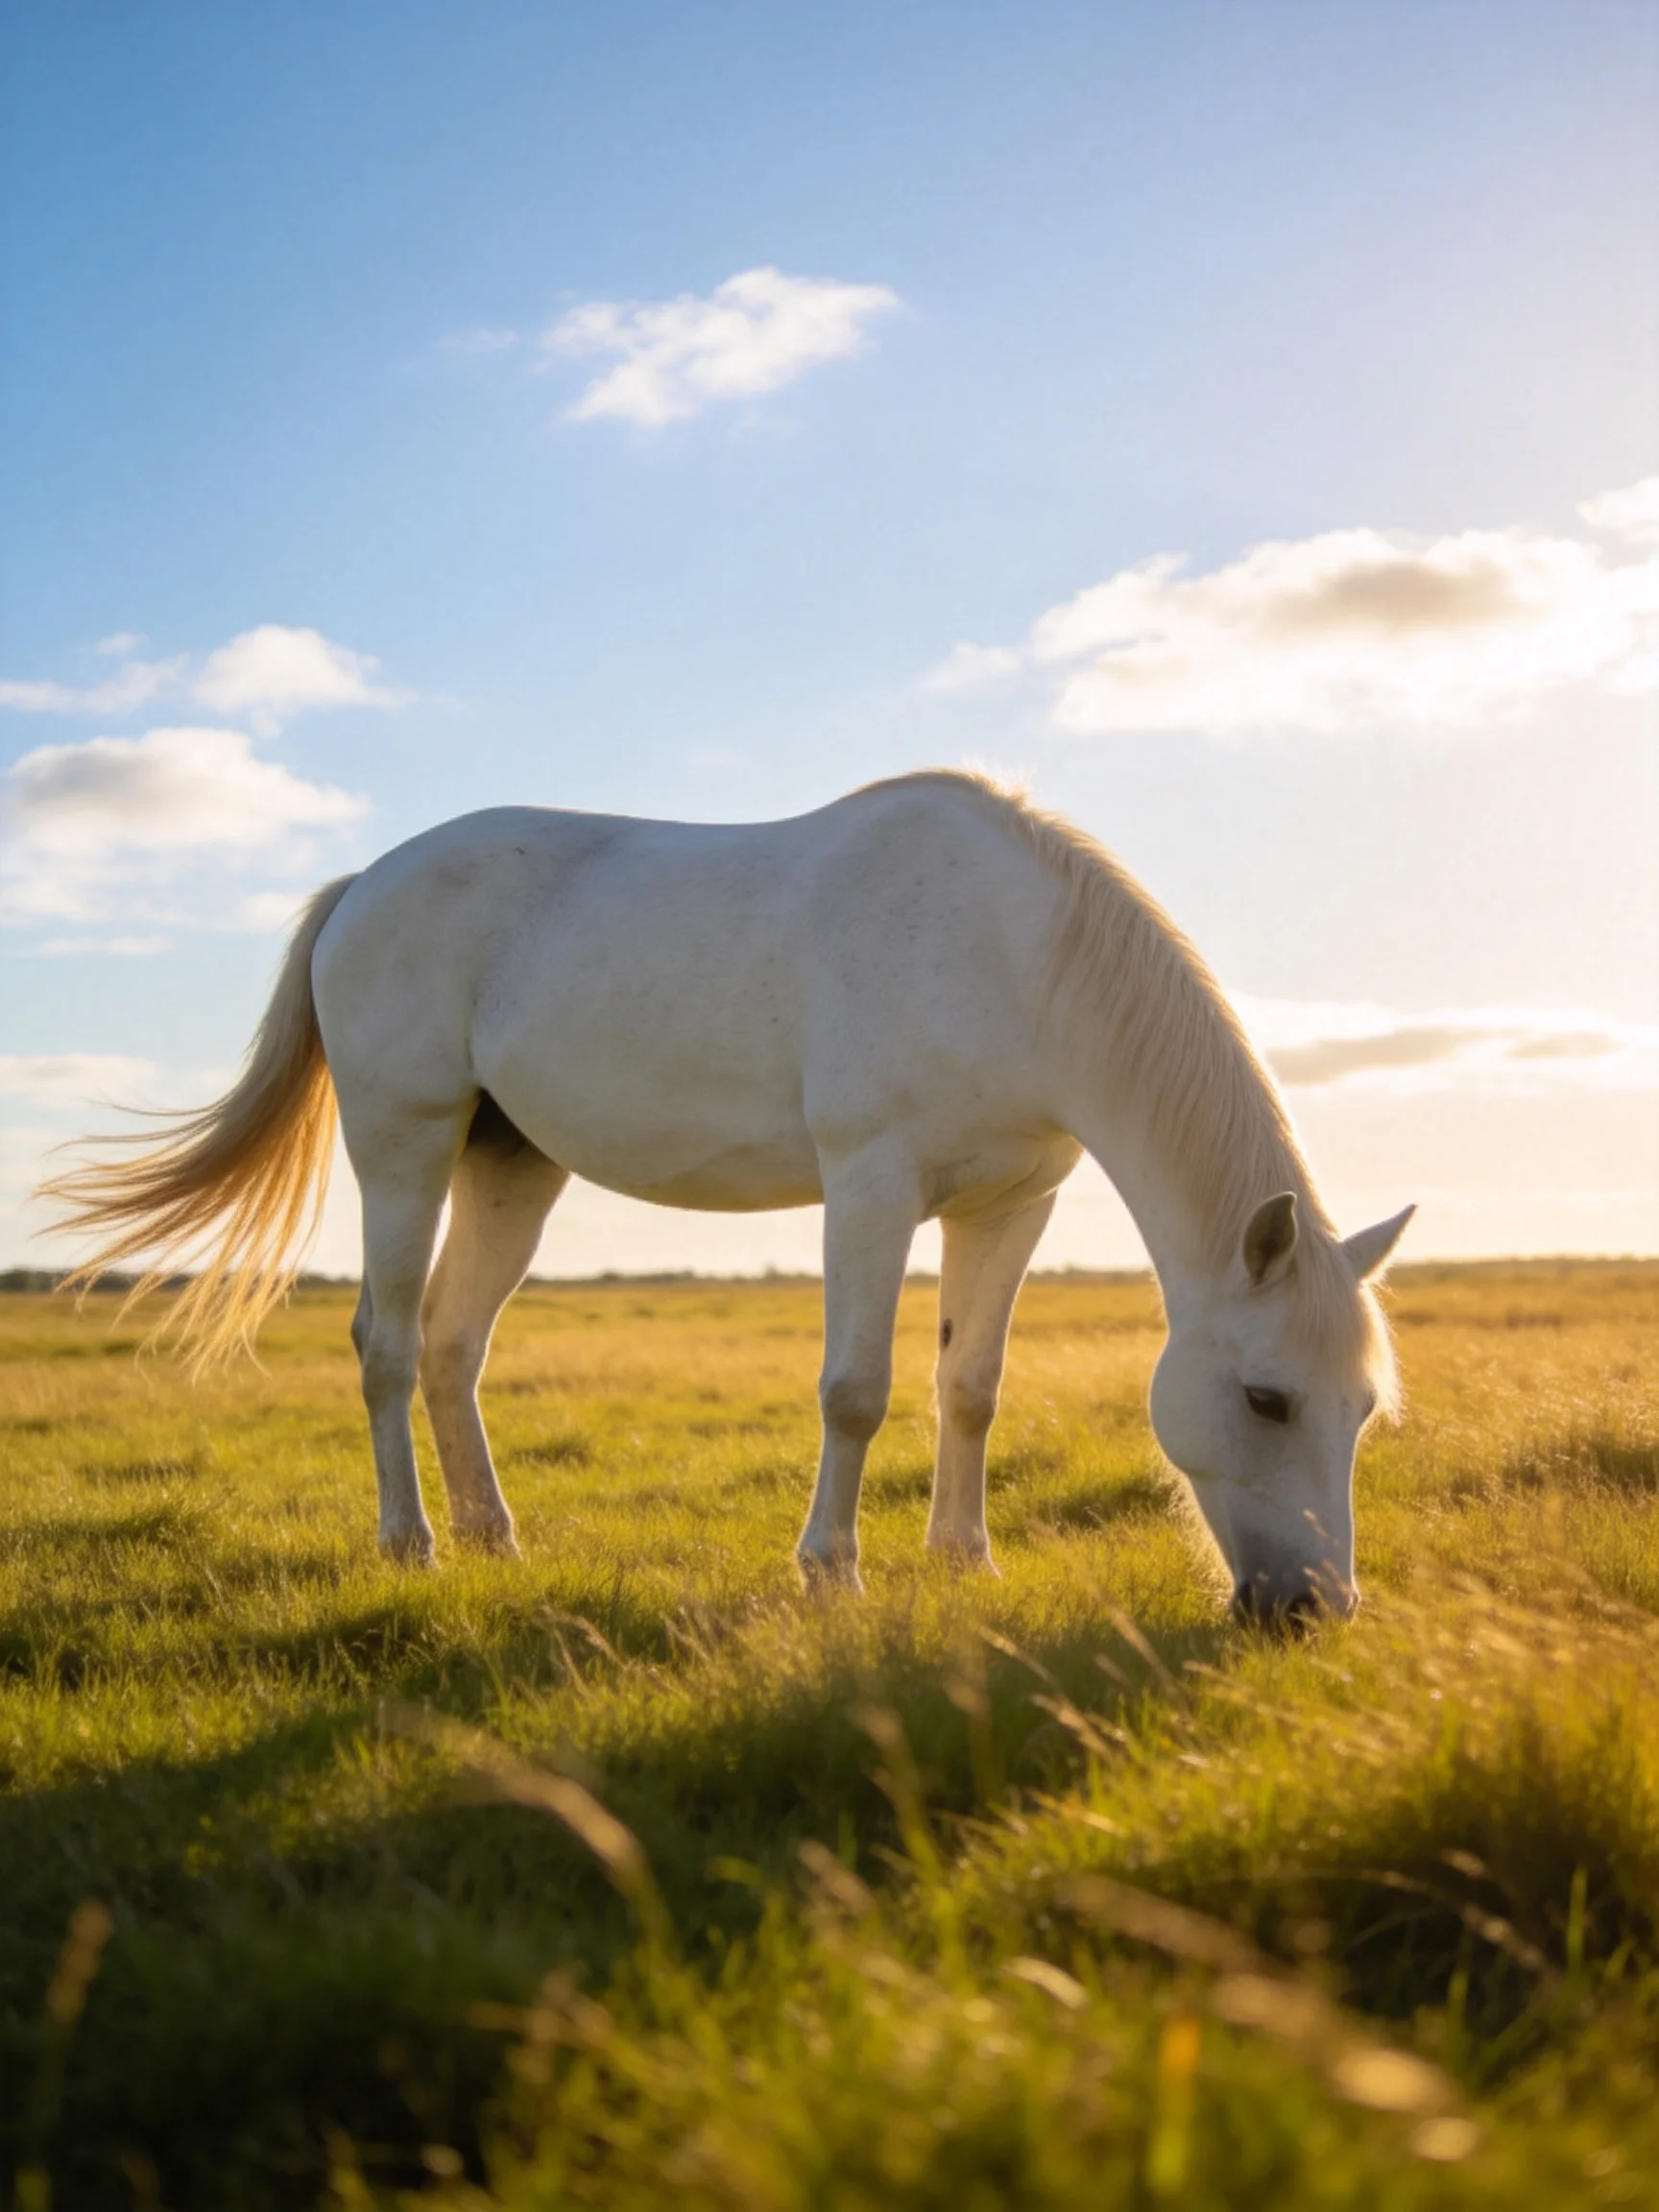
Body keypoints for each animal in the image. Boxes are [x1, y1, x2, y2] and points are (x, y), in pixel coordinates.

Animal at [44, 771, 1412, 1621]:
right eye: (1267, 1397)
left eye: (1363, 1411)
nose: (1313, 1613)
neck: (1015, 957)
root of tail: (362, 884)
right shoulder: (870, 1187)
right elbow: (856, 1391)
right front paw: (831, 1575)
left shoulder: (1007, 1207)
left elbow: (969, 1389)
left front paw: (964, 1565)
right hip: (406, 1145)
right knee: (383, 1343)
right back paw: (412, 1546)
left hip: (510, 1167)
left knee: (450, 1344)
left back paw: (494, 1538)